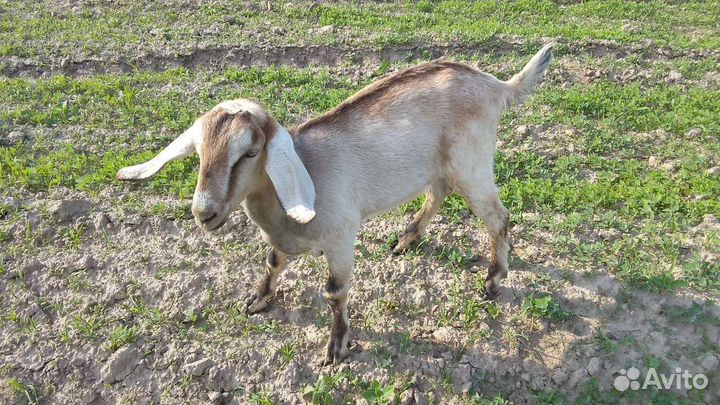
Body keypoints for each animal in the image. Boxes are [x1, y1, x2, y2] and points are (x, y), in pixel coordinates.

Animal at [117, 43, 554, 364]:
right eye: (200, 152)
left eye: (250, 152)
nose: (204, 213)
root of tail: (497, 85)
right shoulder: (281, 241)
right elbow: (272, 264)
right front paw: (258, 300)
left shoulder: (342, 236)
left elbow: (334, 291)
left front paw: (337, 346)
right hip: (441, 166)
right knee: (438, 193)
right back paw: (406, 238)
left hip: (473, 165)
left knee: (498, 217)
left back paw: (494, 279)